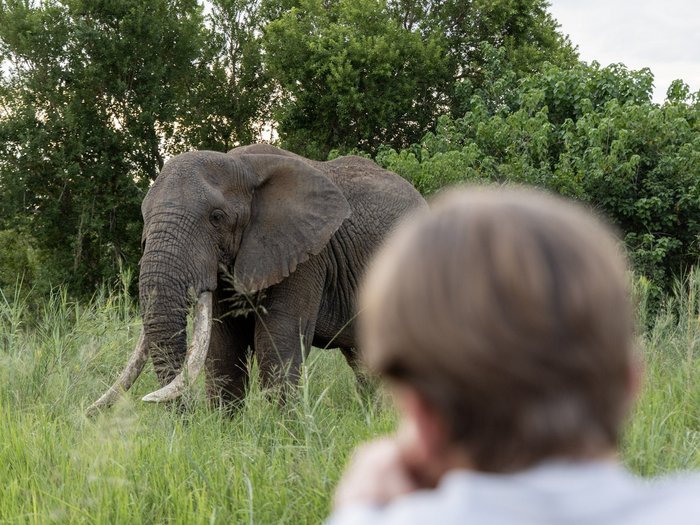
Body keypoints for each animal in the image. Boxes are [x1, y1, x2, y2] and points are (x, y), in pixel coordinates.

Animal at [87, 142, 426, 410]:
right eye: (144, 218)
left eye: (216, 218)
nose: (187, 419)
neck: (242, 165)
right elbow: (223, 348)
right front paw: (224, 430)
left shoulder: (304, 256)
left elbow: (277, 341)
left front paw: (284, 433)